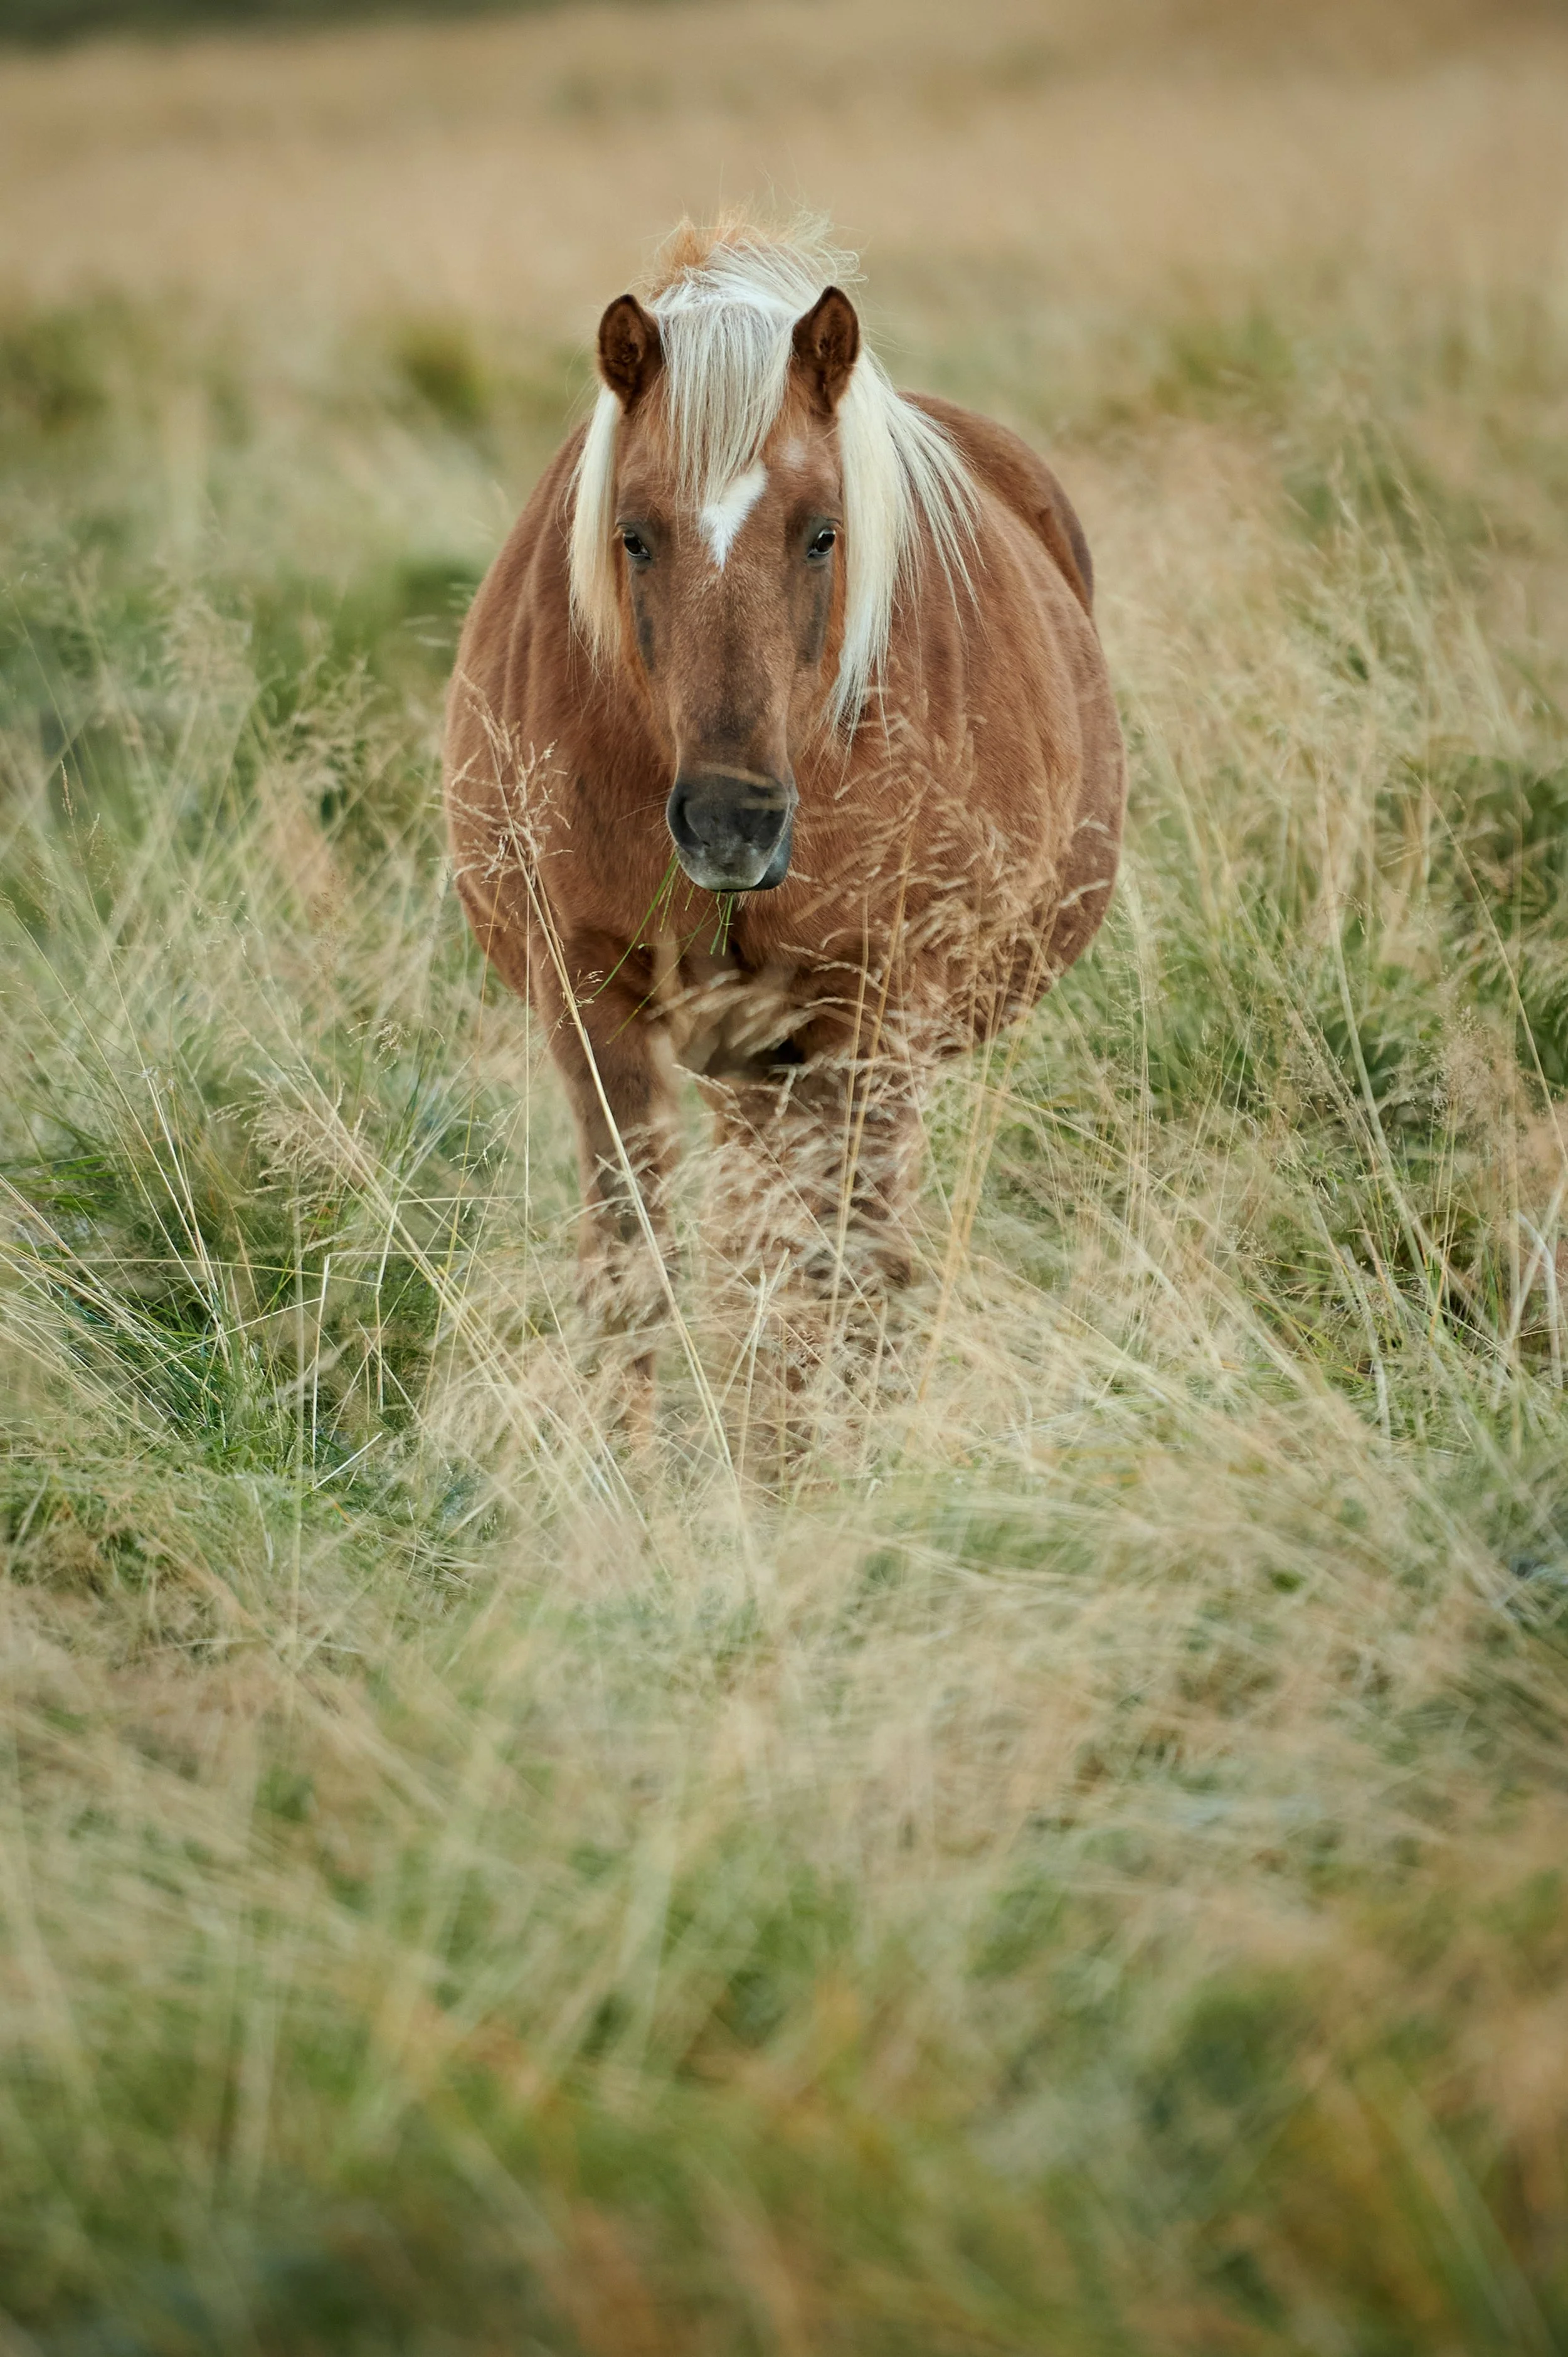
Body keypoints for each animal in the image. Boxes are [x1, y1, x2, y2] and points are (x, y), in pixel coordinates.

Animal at [444, 217, 1126, 1432]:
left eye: (821, 535)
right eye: (634, 535)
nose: (731, 824)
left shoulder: (876, 1015)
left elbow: (833, 1281)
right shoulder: (593, 1011)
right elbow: (636, 1270)